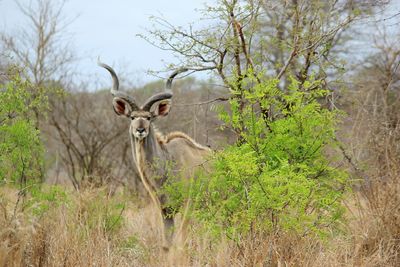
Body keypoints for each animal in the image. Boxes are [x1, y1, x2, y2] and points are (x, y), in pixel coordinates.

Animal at [98, 61, 211, 250]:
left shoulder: (188, 205)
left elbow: (181, 241)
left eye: (149, 117)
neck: (168, 163)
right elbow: (167, 244)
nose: (140, 130)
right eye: (132, 117)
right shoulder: (165, 210)